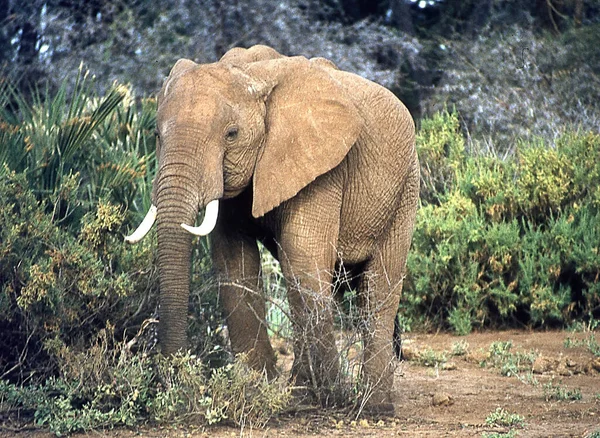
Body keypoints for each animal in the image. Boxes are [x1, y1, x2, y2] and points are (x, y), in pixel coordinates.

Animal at [125, 44, 418, 414]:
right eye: (156, 135)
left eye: (231, 135)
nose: (175, 381)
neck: (252, 75)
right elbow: (234, 262)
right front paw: (257, 389)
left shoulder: (322, 164)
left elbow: (303, 257)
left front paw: (321, 397)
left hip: (405, 188)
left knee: (380, 287)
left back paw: (373, 407)